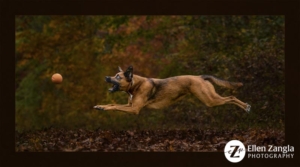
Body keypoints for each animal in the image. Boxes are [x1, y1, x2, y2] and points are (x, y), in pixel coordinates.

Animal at [94, 66, 251, 114]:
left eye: (118, 77)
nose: (106, 77)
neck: (135, 84)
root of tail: (201, 77)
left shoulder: (134, 109)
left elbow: (114, 106)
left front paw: (104, 108)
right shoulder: (130, 105)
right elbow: (112, 104)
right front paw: (100, 106)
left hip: (210, 99)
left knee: (231, 97)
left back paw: (246, 107)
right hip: (210, 98)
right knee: (230, 98)